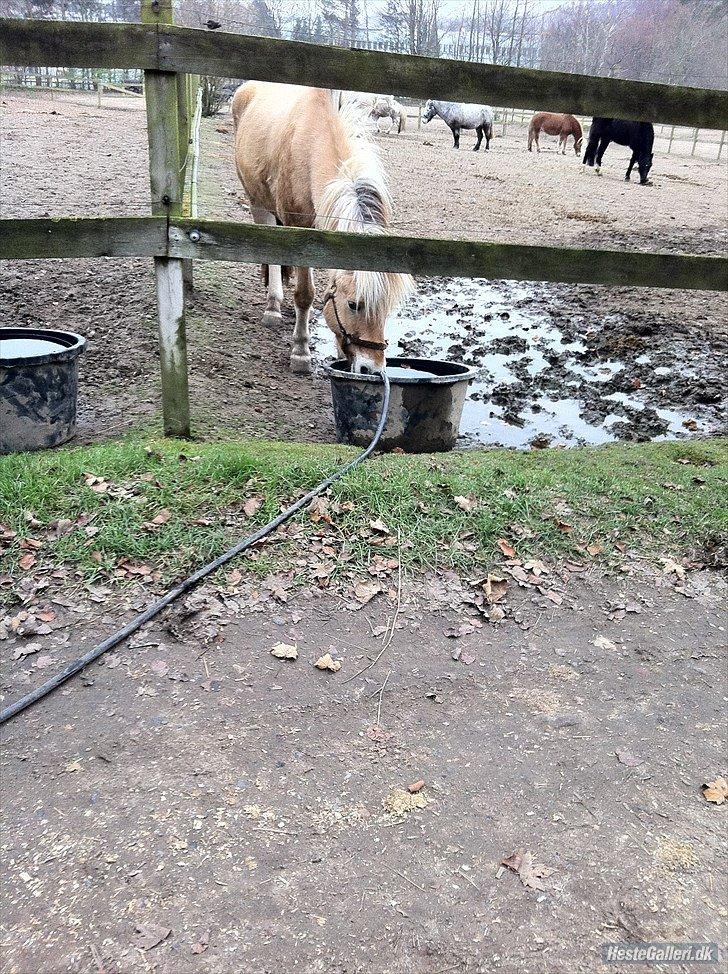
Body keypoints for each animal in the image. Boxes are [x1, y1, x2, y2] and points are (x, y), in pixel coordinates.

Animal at [232, 82, 414, 375]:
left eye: (387, 309)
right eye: (353, 305)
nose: (372, 369)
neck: (312, 142)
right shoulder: (299, 230)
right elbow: (305, 295)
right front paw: (300, 352)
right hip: (258, 203)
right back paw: (272, 308)